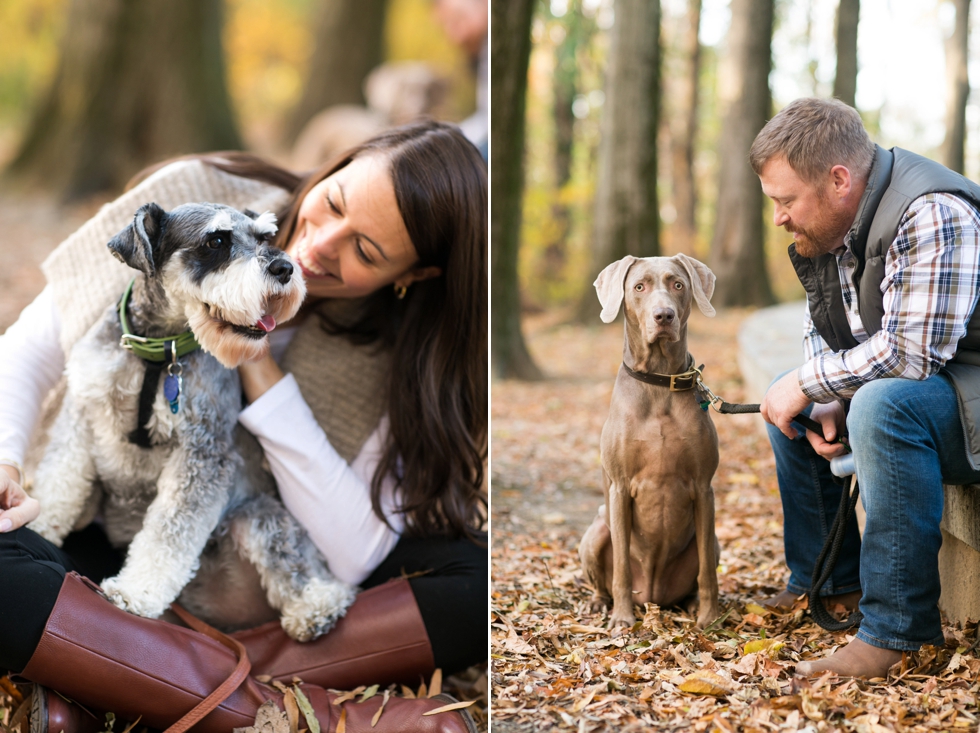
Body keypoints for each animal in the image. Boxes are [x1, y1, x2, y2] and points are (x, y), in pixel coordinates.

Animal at [27, 200, 360, 640]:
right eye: (215, 241)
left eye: (263, 237)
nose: (285, 268)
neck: (158, 351)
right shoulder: (81, 415)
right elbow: (58, 482)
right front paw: (35, 527)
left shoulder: (202, 452)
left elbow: (170, 531)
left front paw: (136, 592)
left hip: (257, 516)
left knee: (305, 569)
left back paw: (317, 608)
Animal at [580, 253, 720, 628]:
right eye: (639, 287)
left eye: (678, 284)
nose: (664, 316)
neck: (659, 381)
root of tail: (654, 596)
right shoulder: (619, 487)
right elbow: (621, 568)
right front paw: (622, 619)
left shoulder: (703, 487)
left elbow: (707, 571)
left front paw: (710, 617)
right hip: (596, 529)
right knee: (603, 578)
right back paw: (601, 604)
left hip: (713, 541)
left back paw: (690, 605)